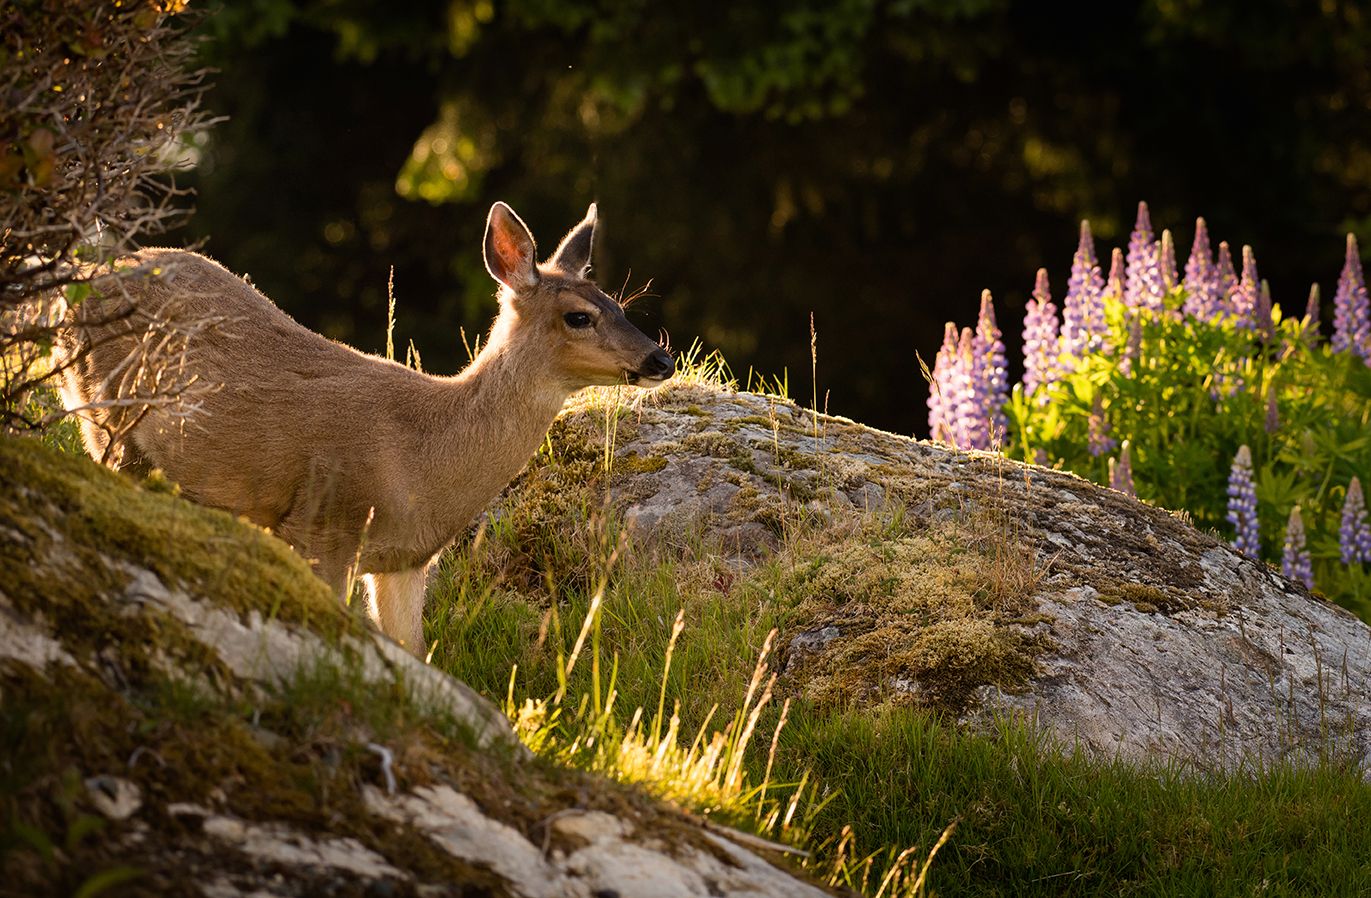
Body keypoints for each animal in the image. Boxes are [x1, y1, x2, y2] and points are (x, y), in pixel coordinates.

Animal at [58, 202, 674, 654]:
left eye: (619, 304)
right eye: (579, 316)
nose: (661, 359)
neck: (421, 460)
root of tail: (78, 285)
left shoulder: (405, 560)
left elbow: (413, 651)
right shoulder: (322, 524)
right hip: (104, 415)